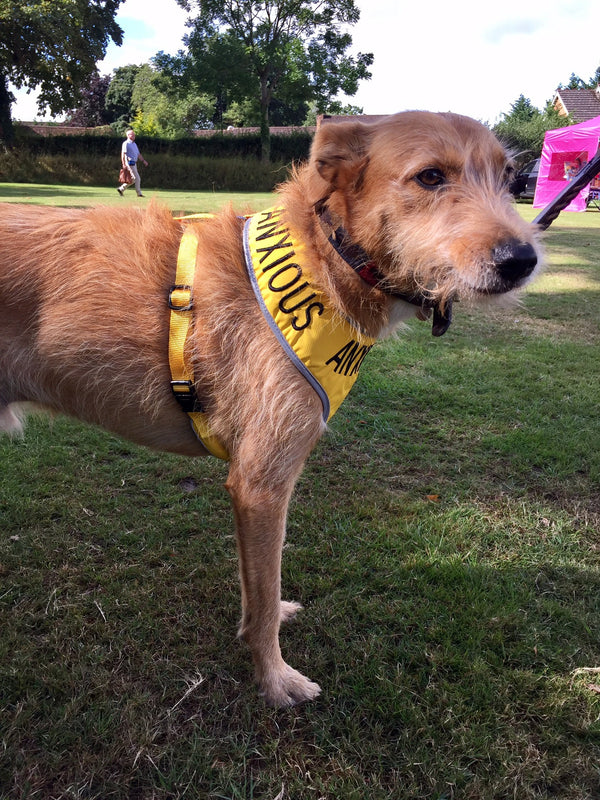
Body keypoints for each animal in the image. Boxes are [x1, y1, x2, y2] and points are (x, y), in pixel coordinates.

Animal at [0, 111, 540, 708]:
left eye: (510, 176)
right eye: (429, 177)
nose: (522, 260)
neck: (324, 256)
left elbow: (256, 585)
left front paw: (267, 620)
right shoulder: (262, 482)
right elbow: (265, 589)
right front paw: (275, 678)